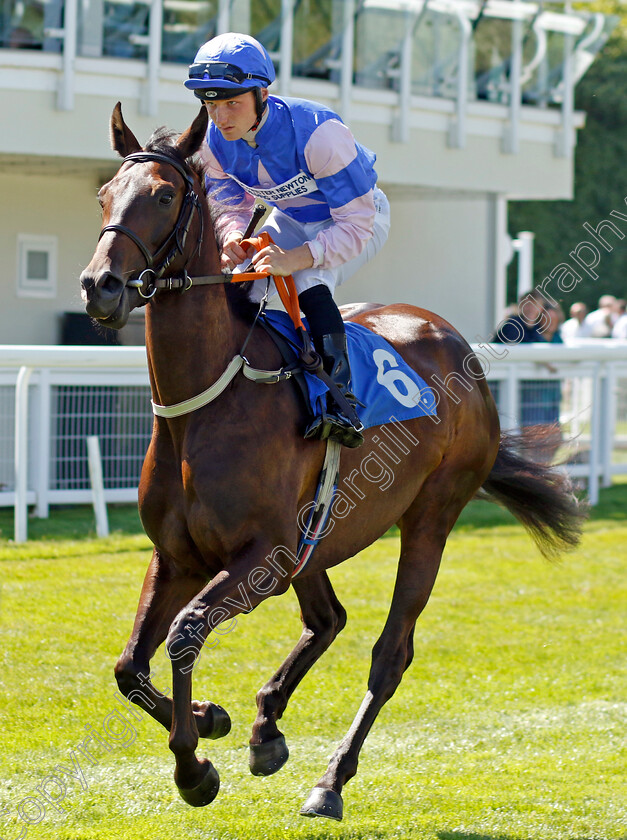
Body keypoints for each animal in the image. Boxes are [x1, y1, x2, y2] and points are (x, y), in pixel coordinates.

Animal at [78, 100, 584, 820]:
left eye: (164, 194)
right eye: (104, 194)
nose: (101, 286)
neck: (209, 401)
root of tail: (456, 344)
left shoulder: (262, 553)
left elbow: (184, 632)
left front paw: (194, 768)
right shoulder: (179, 555)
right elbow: (129, 666)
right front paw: (210, 719)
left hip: (430, 517)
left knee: (389, 653)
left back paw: (330, 780)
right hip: (317, 535)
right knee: (327, 620)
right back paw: (266, 728)